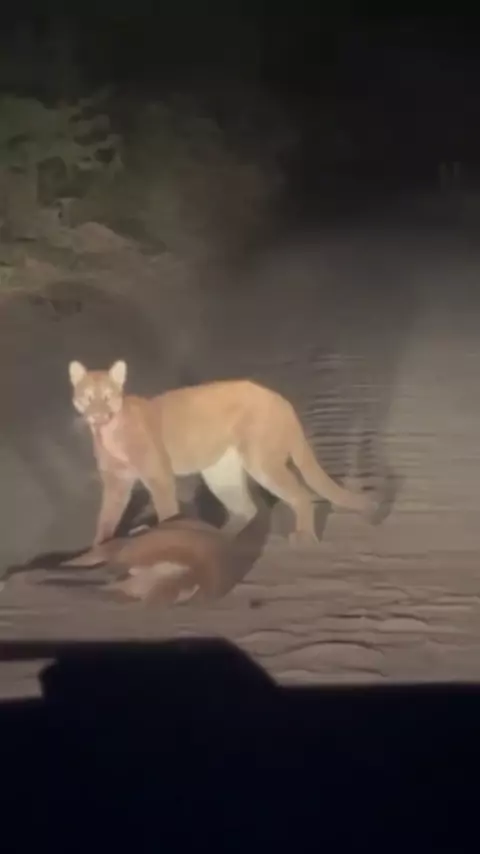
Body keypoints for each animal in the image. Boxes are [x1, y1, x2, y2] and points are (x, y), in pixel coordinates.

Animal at [68, 359, 377, 547]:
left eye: (107, 396)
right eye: (88, 397)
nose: (98, 415)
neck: (109, 433)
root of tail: (280, 399)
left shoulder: (157, 476)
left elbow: (166, 509)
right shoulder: (117, 482)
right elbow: (107, 516)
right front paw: (98, 546)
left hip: (260, 460)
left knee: (300, 495)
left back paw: (303, 537)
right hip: (221, 473)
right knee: (247, 508)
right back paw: (224, 539)